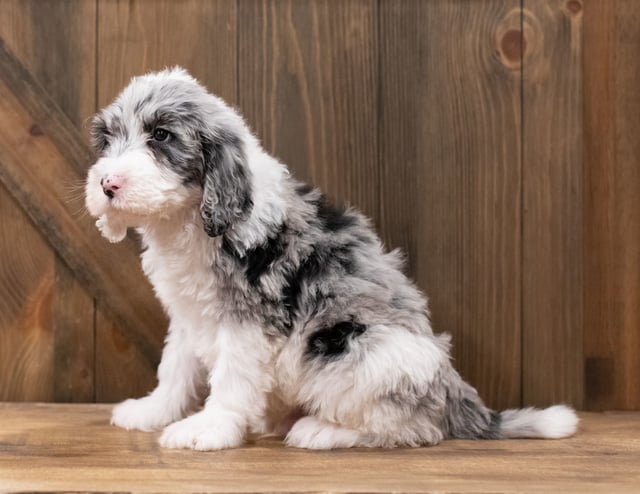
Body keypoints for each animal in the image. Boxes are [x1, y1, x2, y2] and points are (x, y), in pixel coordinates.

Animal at [85, 68, 580, 452]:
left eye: (161, 136)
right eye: (108, 140)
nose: (107, 184)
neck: (188, 219)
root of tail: (460, 398)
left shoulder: (247, 320)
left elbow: (231, 379)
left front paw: (209, 428)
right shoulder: (190, 314)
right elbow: (175, 368)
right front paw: (152, 411)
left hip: (360, 349)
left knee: (415, 428)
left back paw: (319, 431)